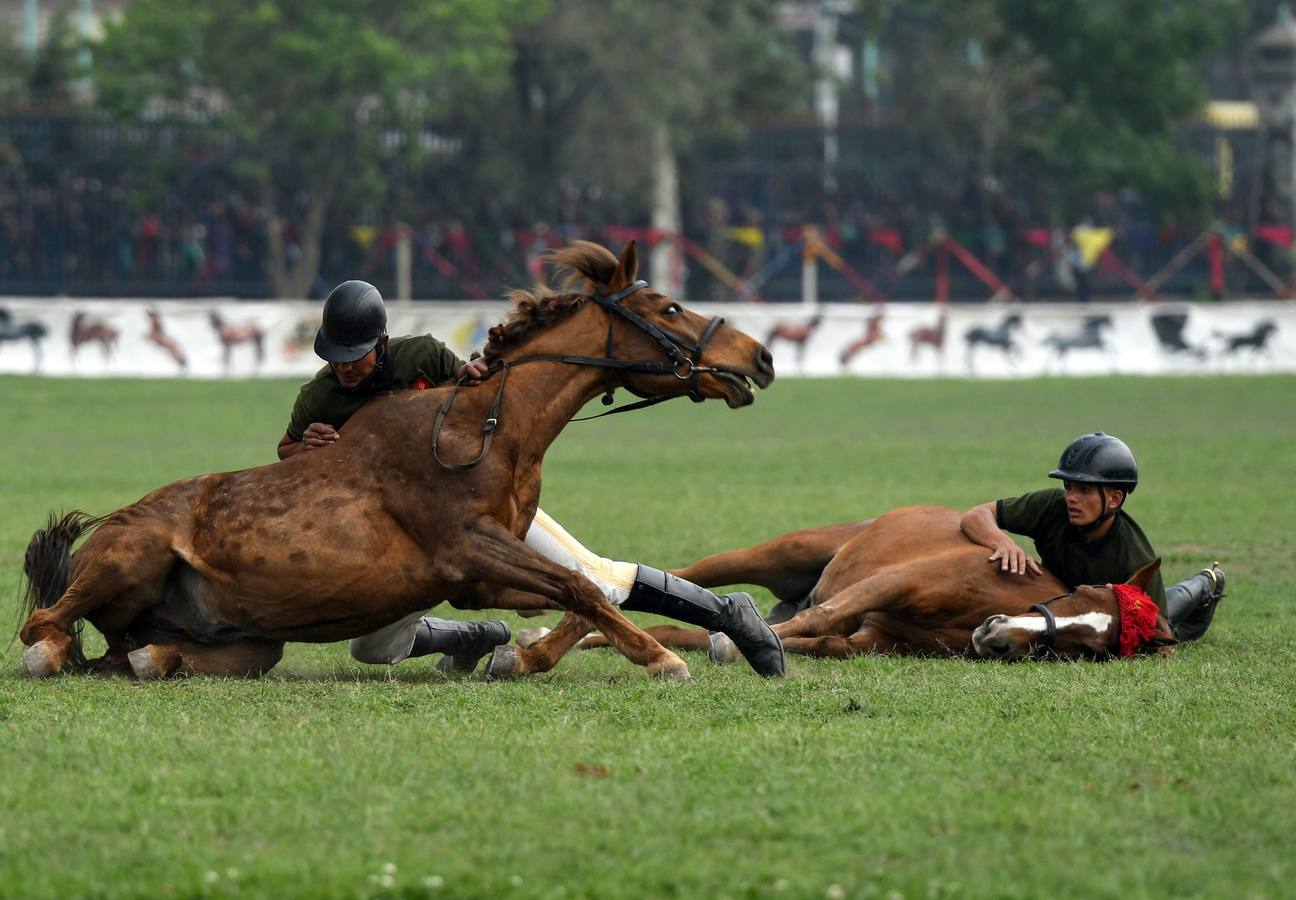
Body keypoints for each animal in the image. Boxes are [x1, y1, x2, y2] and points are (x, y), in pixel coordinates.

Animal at [567, 508, 1176, 663]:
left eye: (1083, 647)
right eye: (1075, 593)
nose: (997, 636)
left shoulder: (873, 638)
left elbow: (822, 638)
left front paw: (735, 642)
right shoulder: (892, 582)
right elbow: (819, 619)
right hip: (780, 553)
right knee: (693, 575)